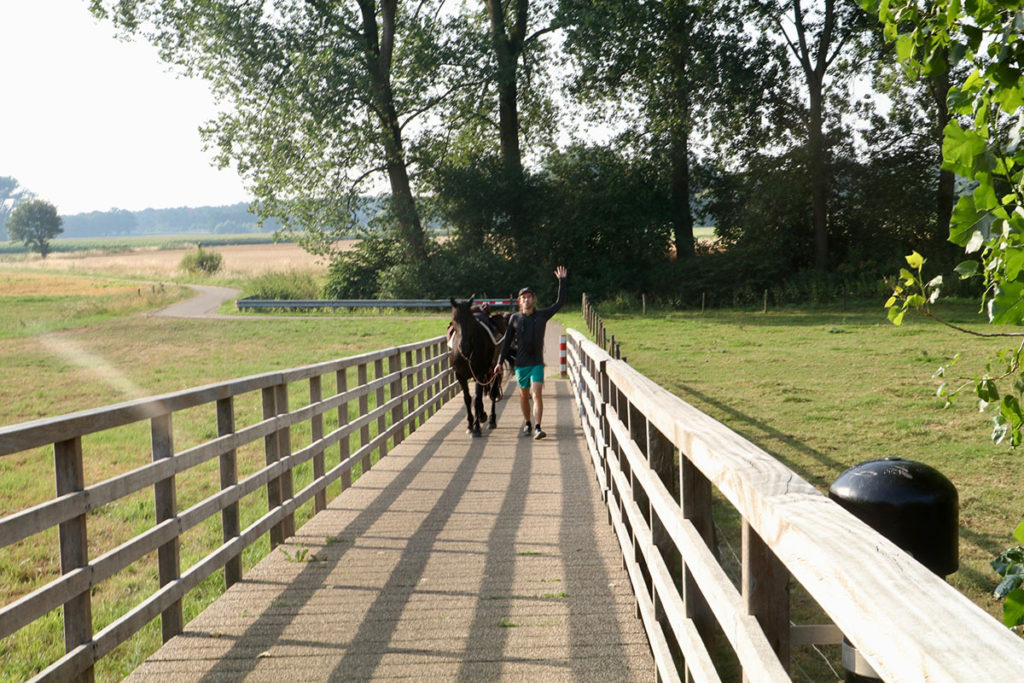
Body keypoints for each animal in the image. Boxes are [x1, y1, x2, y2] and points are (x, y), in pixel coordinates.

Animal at [452, 296, 507, 438]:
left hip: (494, 369)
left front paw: (476, 427)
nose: (464, 346)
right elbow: (467, 398)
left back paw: (492, 419)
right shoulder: (460, 376)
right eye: (454, 320)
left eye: (471, 320)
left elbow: (477, 399)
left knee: (493, 392)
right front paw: (470, 425)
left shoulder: (479, 373)